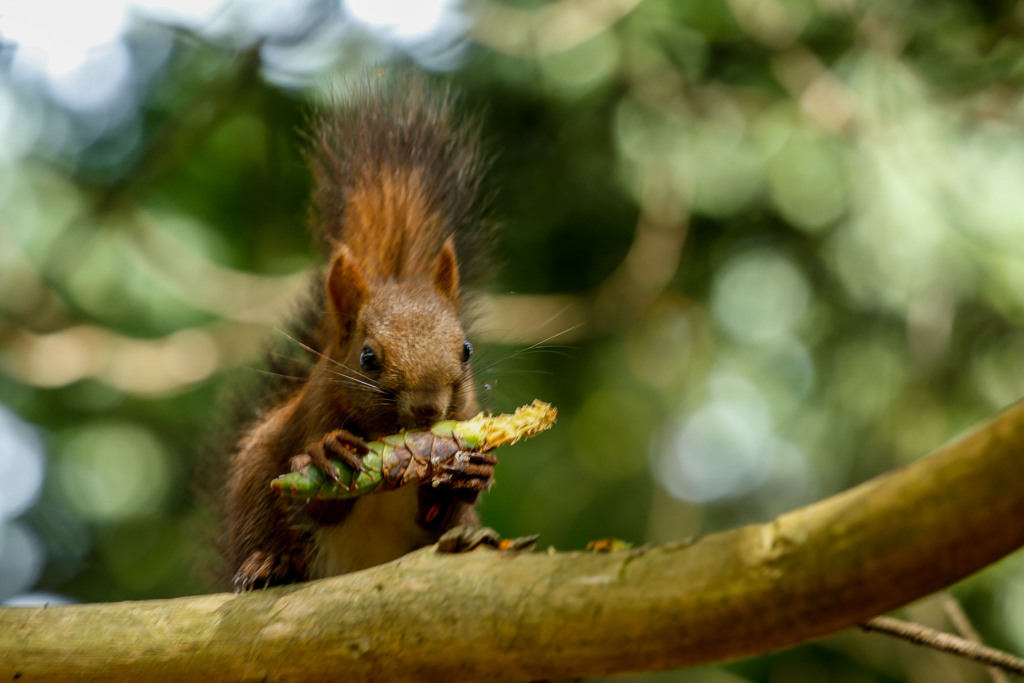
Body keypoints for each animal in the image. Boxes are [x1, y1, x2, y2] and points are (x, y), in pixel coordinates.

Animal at [223, 76, 495, 593]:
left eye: (467, 350)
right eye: (368, 358)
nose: (429, 408)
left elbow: (437, 512)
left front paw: (472, 471)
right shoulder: (312, 413)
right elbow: (319, 500)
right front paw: (327, 452)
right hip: (255, 486)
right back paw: (268, 565)